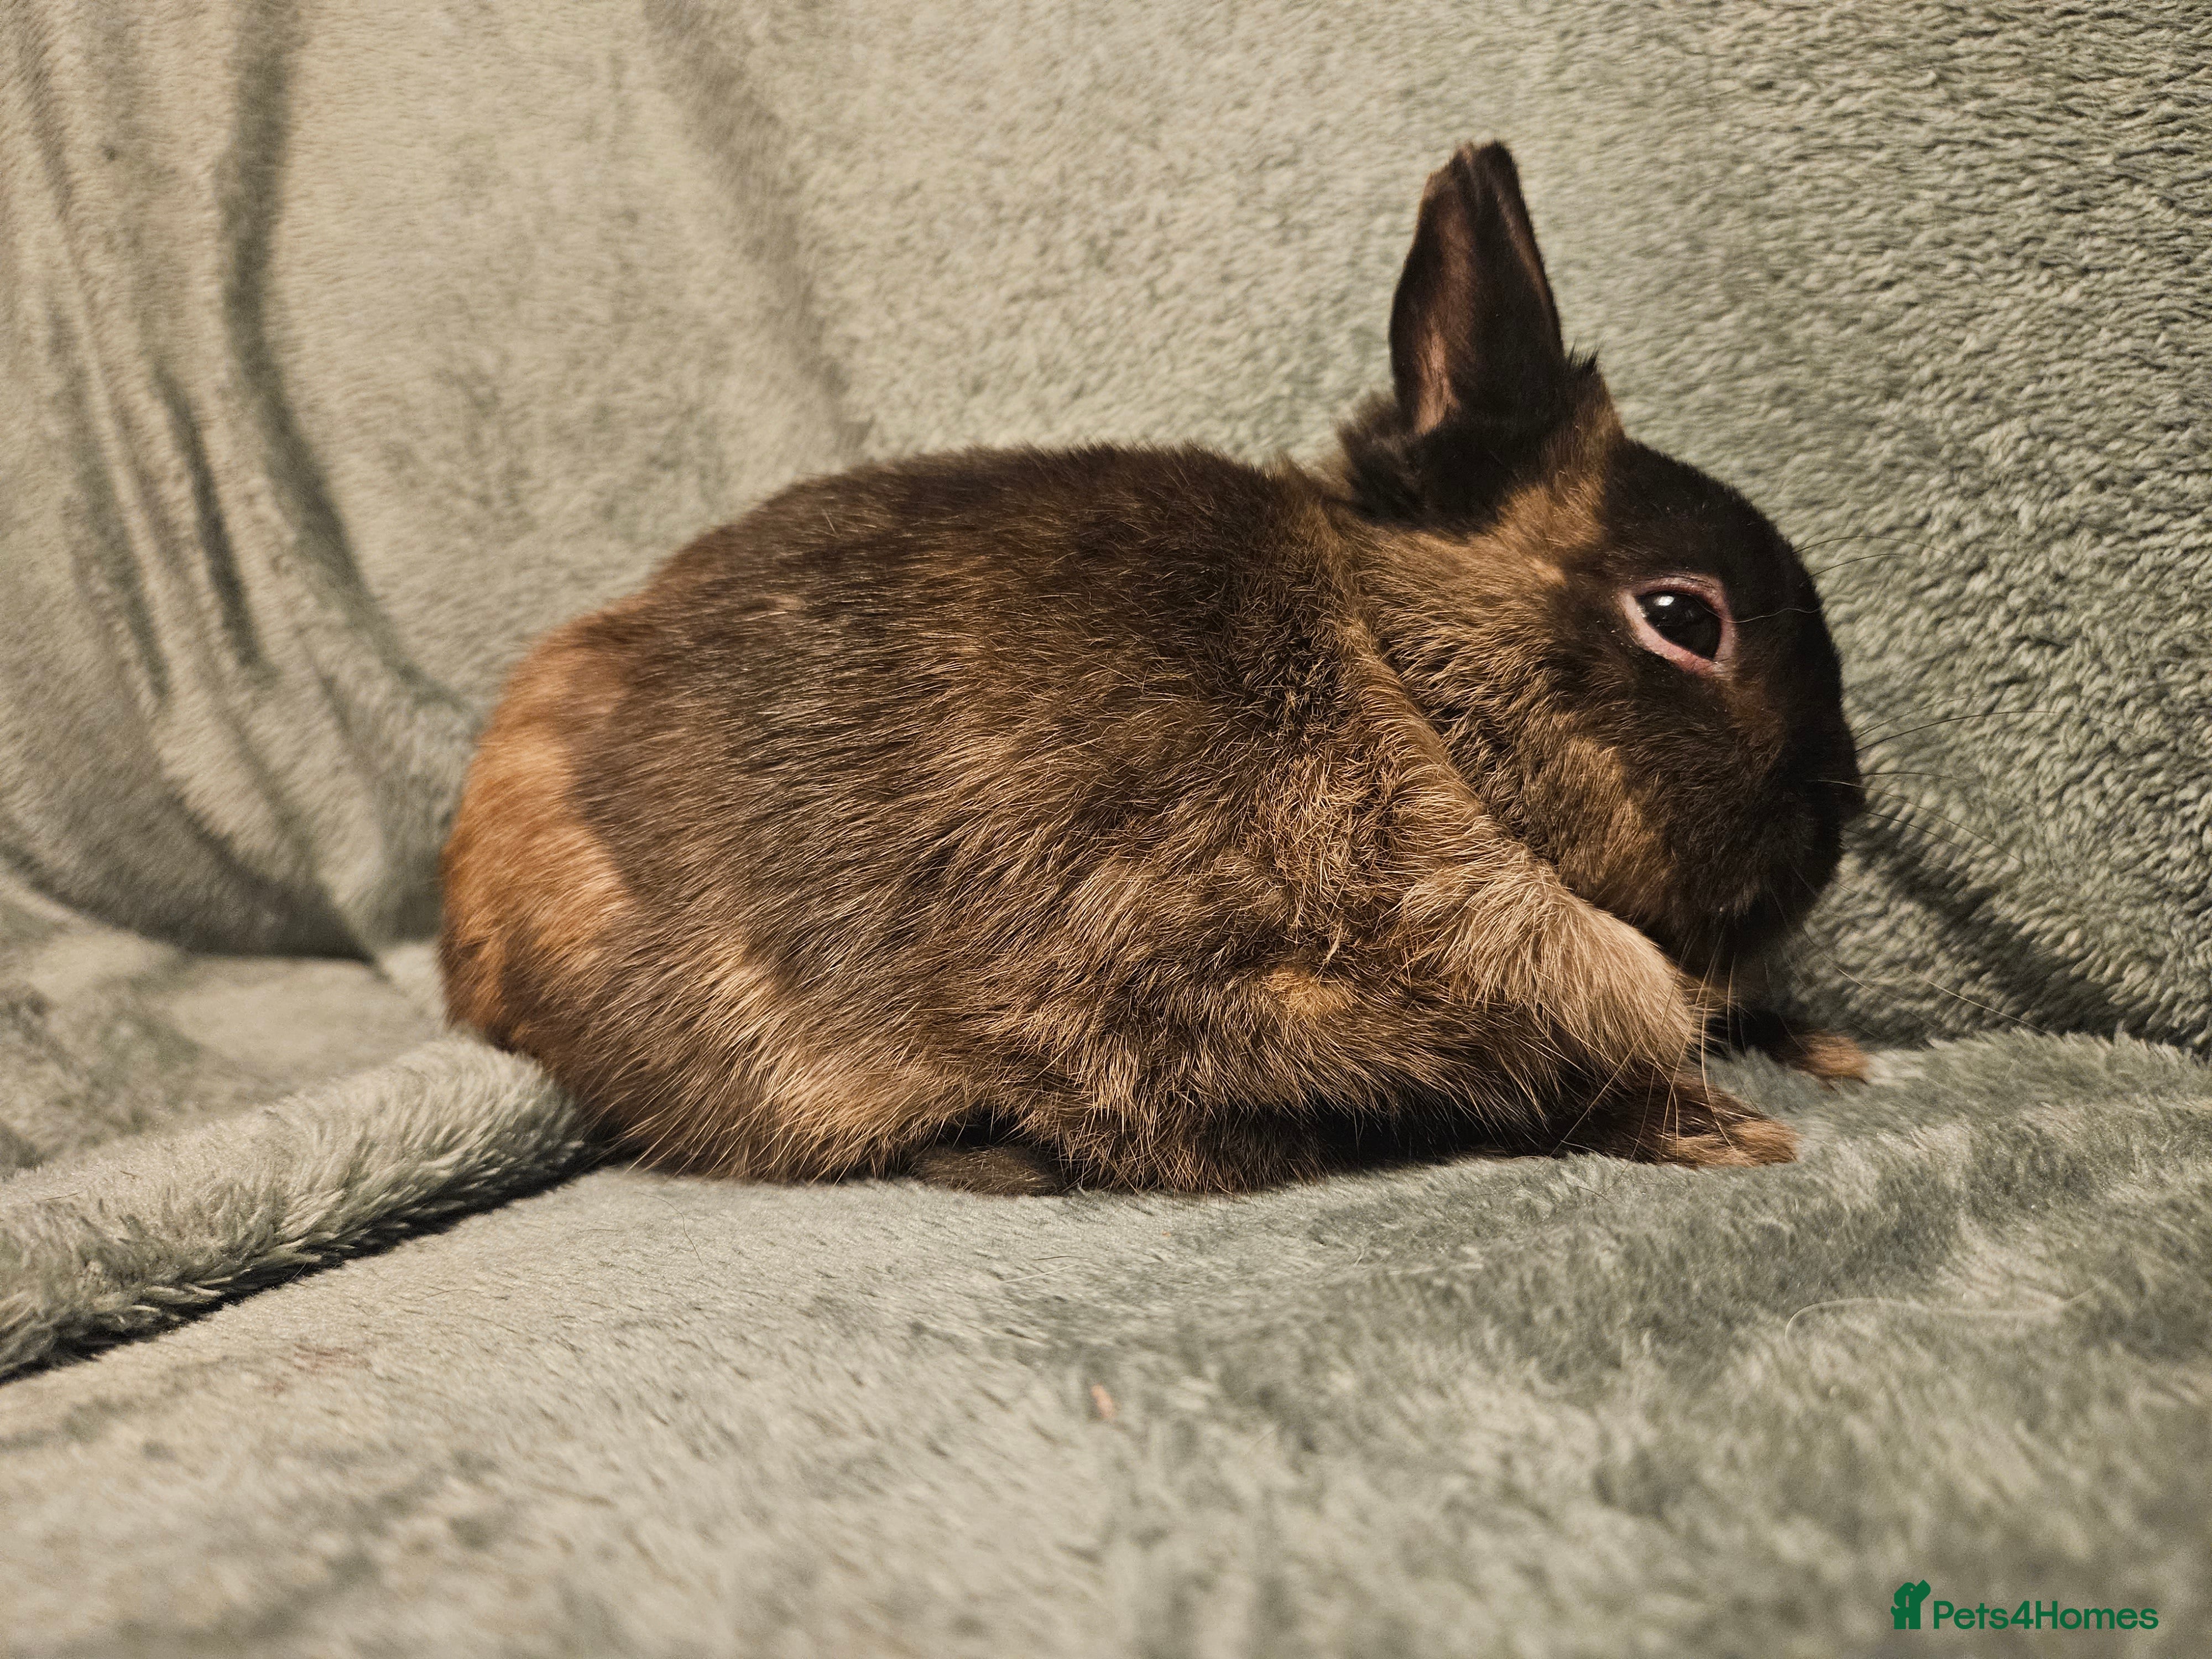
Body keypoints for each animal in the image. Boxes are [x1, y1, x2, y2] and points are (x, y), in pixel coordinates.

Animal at [440, 141, 1866, 1195]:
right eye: (1681, 615)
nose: (1832, 827)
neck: (1402, 689)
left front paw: (1815, 1051)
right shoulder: (1136, 996)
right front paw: (1715, 1125)